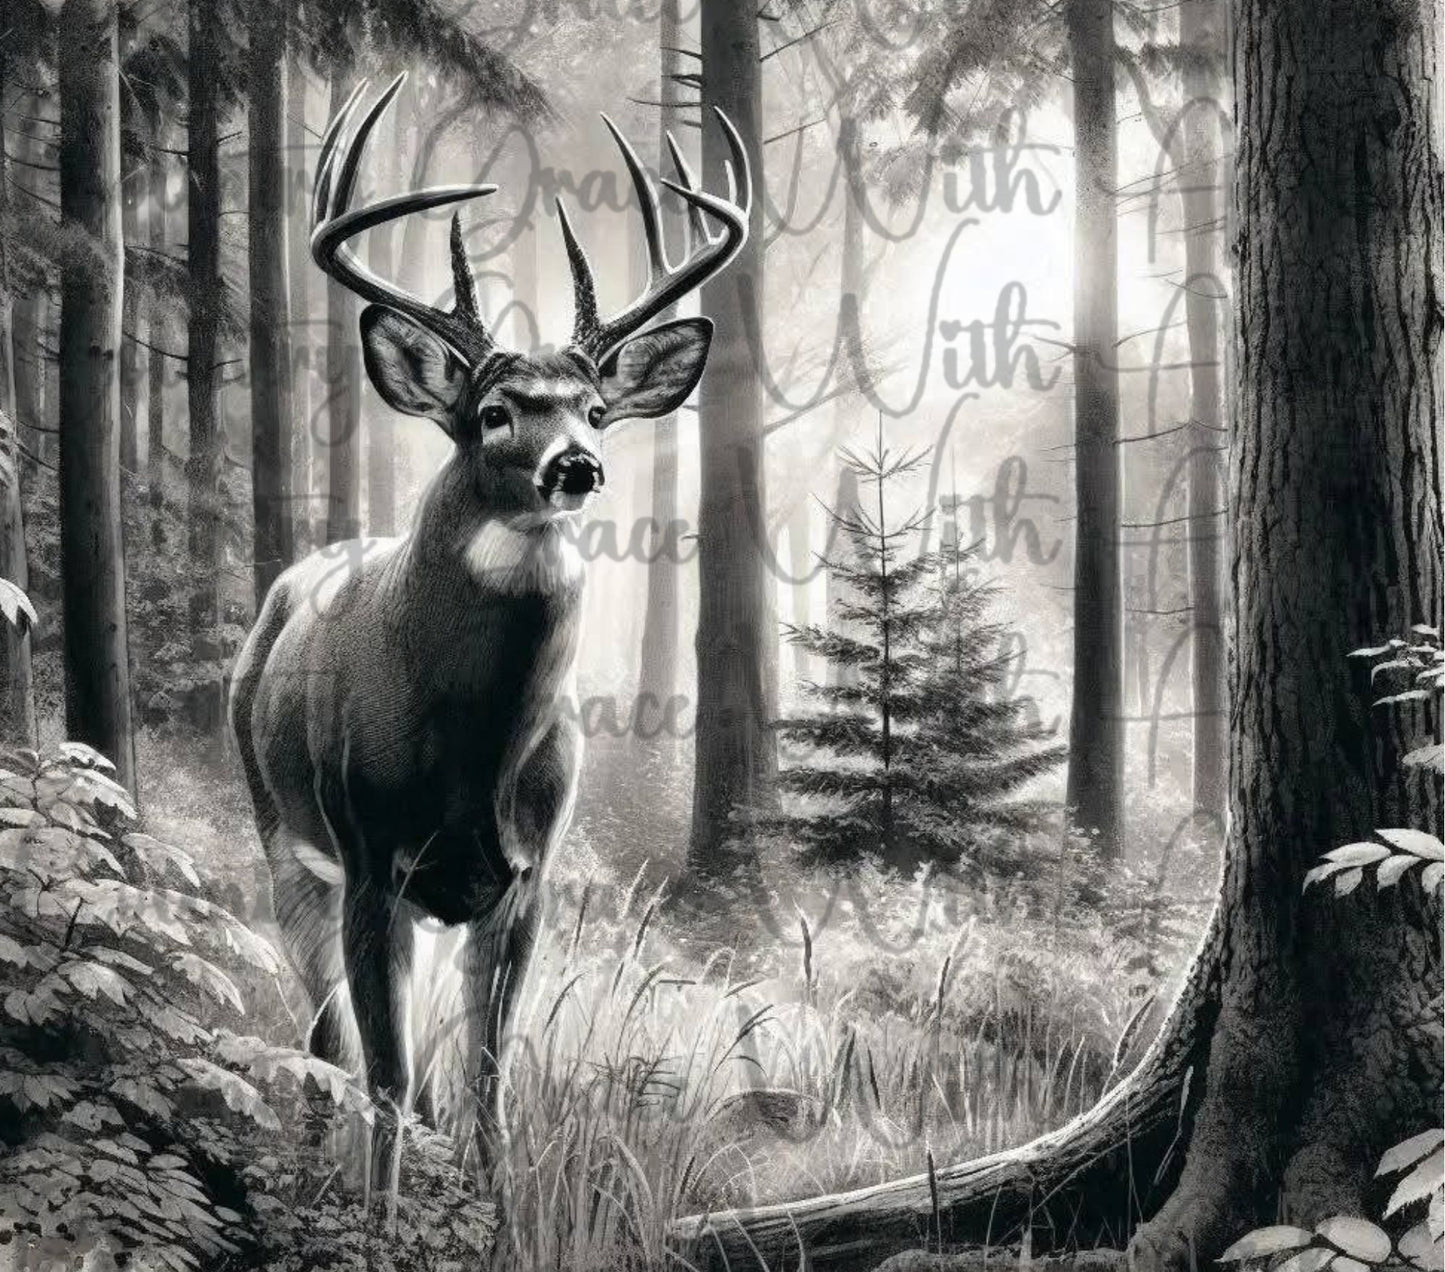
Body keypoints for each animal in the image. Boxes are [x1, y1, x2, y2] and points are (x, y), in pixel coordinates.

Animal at [228, 73, 750, 1195]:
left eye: (594, 409)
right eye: (495, 411)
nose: (577, 467)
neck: (471, 759)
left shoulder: (523, 880)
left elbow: (487, 1088)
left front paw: (489, 1214)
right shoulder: (369, 861)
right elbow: (381, 1082)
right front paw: (373, 1222)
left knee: (408, 1059)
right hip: (282, 837)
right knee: (325, 1038)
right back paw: (306, 1172)